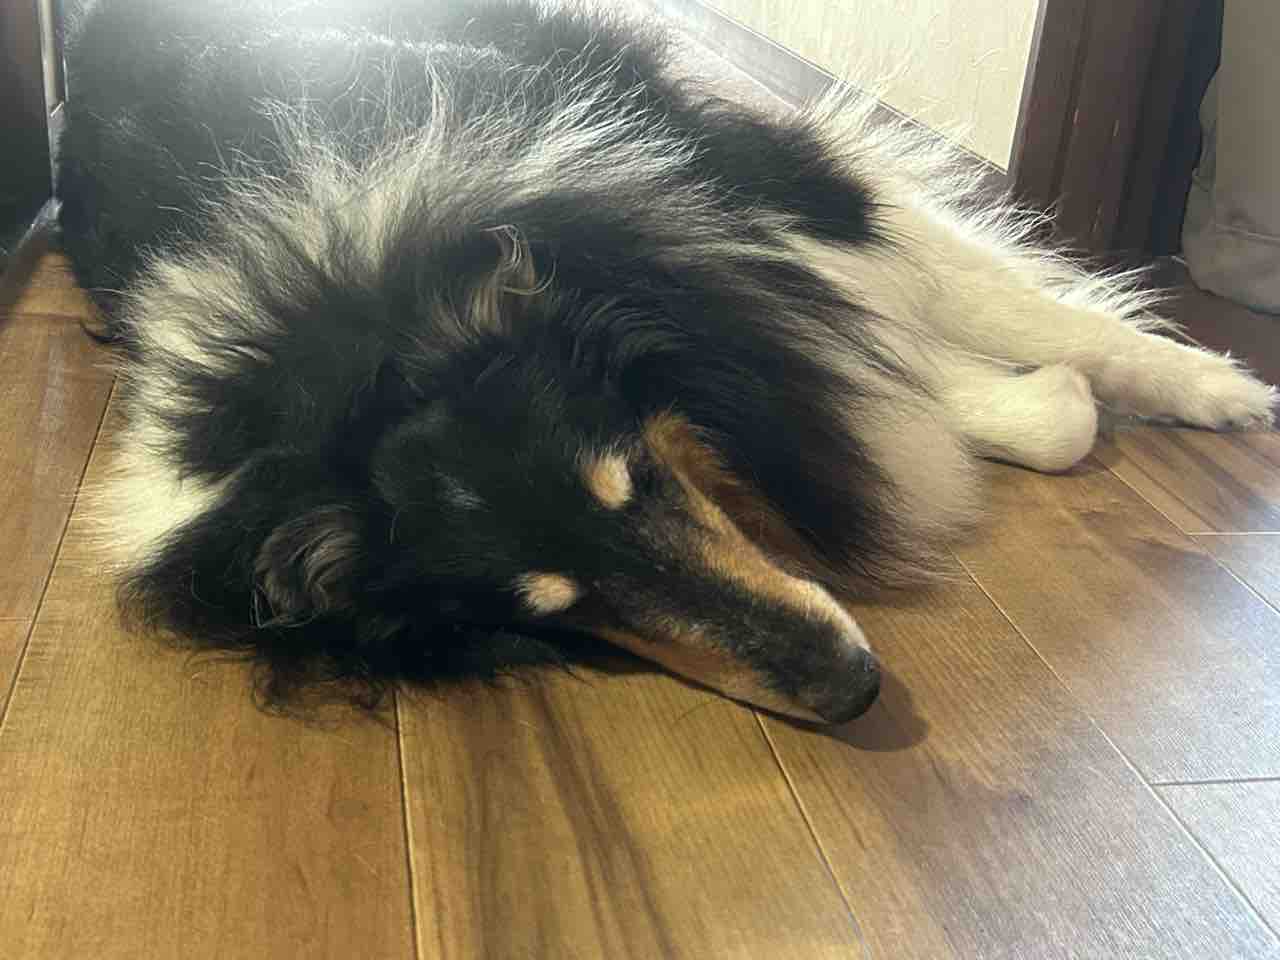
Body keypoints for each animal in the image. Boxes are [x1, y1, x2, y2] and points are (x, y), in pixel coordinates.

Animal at [57, 0, 1276, 723]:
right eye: (554, 611)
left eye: (637, 478)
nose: (851, 688)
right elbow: (926, 392)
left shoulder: (743, 186)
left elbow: (1012, 320)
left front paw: (1214, 387)